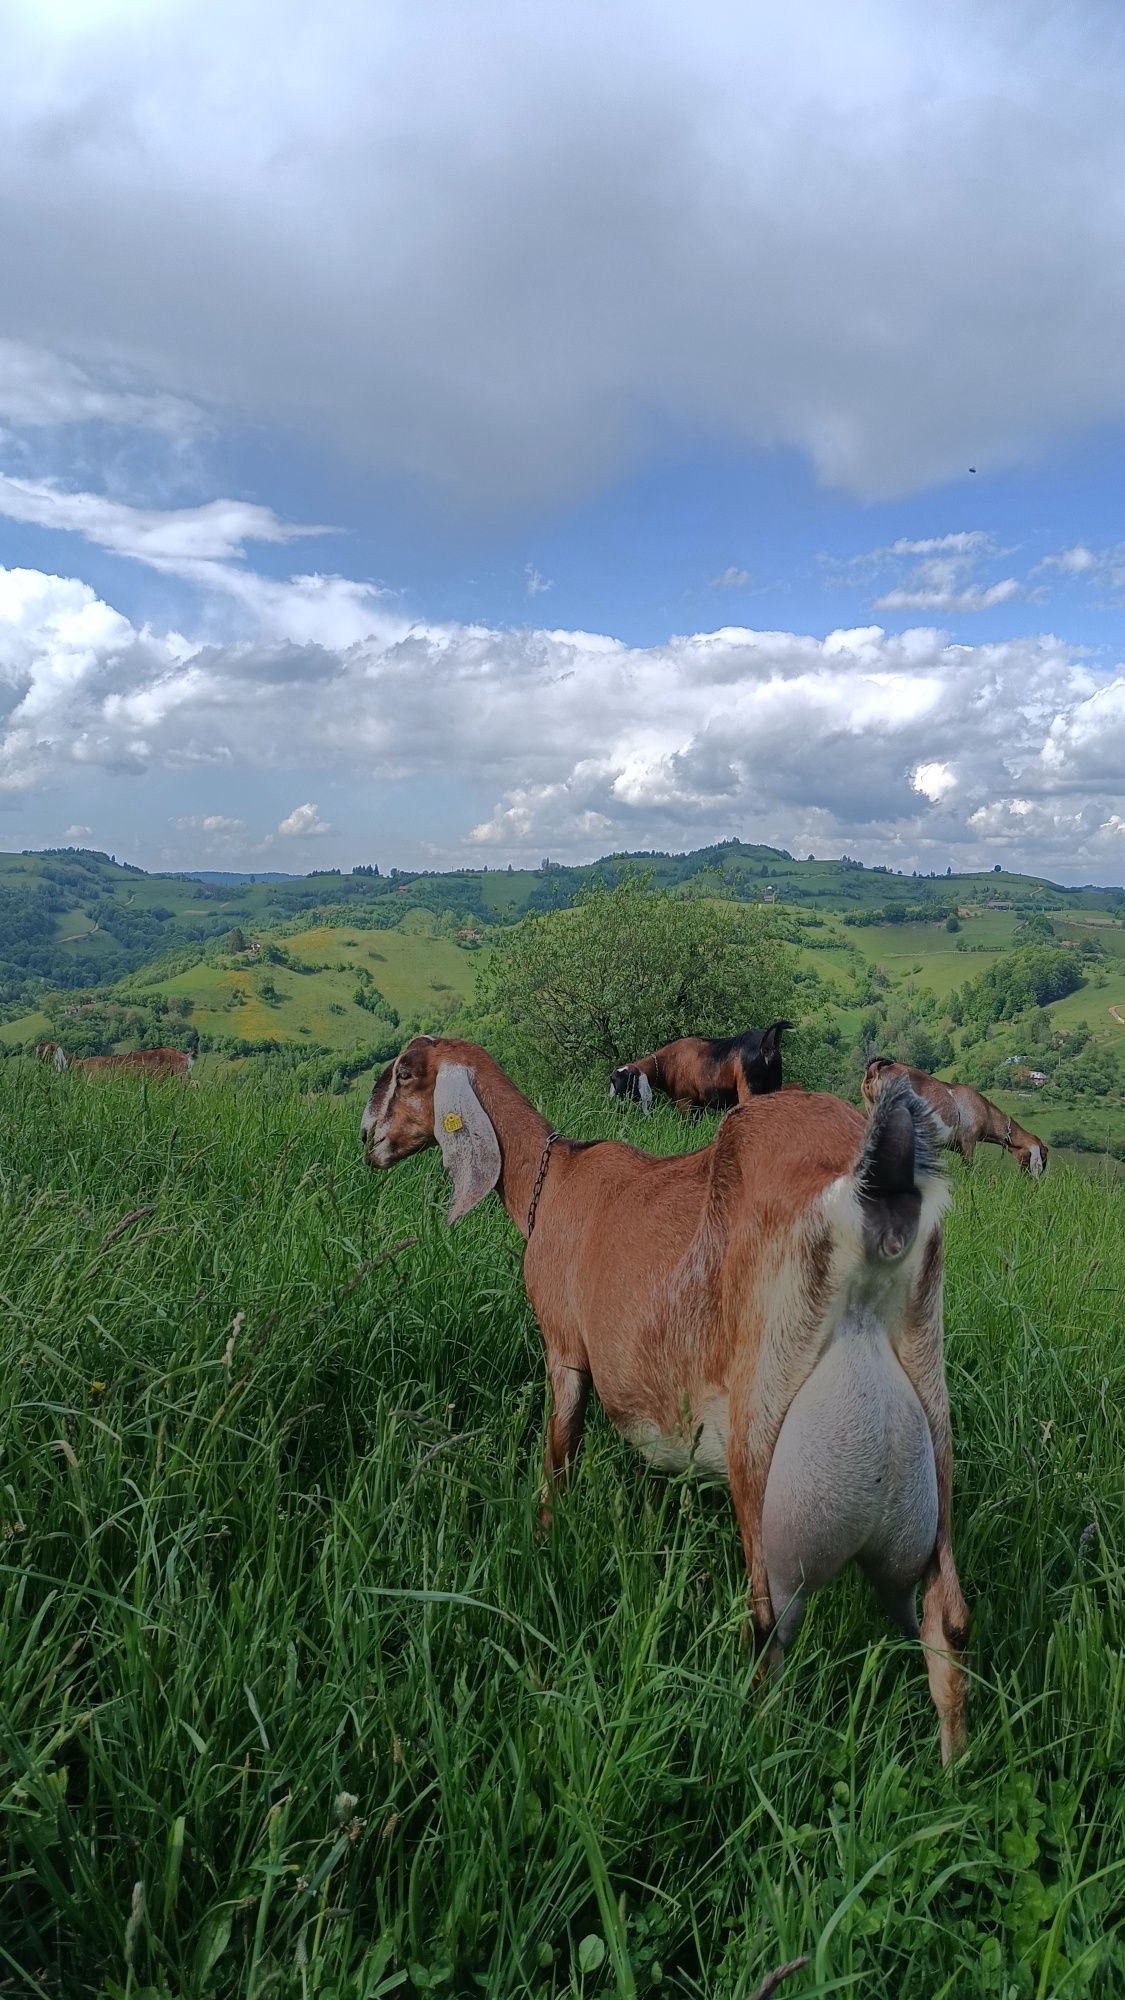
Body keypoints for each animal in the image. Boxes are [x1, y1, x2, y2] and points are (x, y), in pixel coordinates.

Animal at [358, 1040, 964, 1760]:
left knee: (770, 1622)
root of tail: (874, 1192)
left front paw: (544, 1539)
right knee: (946, 1616)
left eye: (404, 1074)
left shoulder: (564, 1348)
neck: (552, 1179)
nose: (367, 1140)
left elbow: (557, 1455)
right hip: (929, 1407)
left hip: (762, 1429)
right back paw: (953, 1765)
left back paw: (747, 1741)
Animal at [604, 1024, 788, 1120]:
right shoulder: (698, 1106)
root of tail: (766, 1046)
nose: (612, 1100)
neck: (667, 1063)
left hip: (748, 1091)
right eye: (613, 1079)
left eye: (624, 1080)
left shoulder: (685, 1102)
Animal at [860, 1056, 1048, 1176]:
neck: (986, 1111)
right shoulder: (968, 1141)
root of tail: (876, 1068)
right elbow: (968, 1169)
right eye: (1043, 1158)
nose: (1034, 1183)